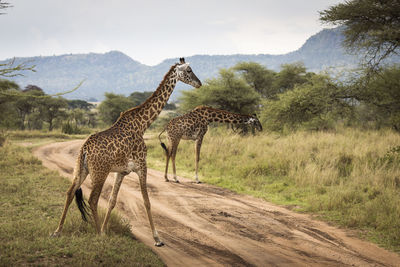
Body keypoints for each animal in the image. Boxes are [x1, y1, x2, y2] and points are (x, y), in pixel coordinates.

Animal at [52, 57, 202, 247]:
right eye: (189, 70)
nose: (199, 83)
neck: (142, 124)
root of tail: (85, 148)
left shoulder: (121, 172)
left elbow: (112, 201)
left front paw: (106, 229)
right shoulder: (141, 166)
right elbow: (147, 201)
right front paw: (157, 239)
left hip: (81, 169)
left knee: (70, 192)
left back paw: (58, 231)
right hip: (99, 172)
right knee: (92, 199)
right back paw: (98, 235)